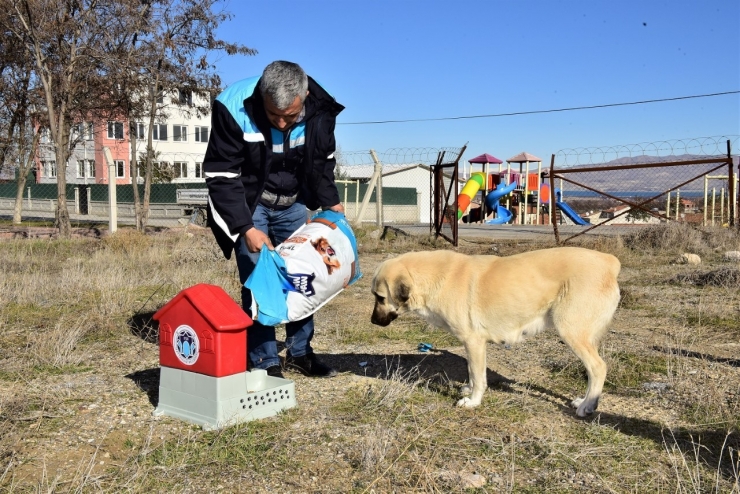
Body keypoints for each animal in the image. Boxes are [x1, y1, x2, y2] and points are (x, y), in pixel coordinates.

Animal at [372, 247, 620, 416]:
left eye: (380, 297)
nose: (373, 321)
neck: (438, 277)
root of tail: (610, 262)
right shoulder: (472, 345)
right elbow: (472, 372)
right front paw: (469, 390)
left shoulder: (473, 341)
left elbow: (478, 376)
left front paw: (473, 401)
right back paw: (583, 400)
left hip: (572, 333)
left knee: (598, 368)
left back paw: (587, 405)